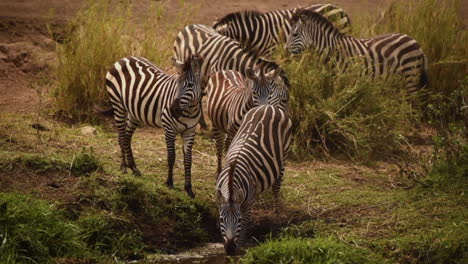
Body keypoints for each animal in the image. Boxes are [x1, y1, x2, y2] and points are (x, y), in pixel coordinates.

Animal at [106, 54, 203, 197]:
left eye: (190, 85)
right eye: (177, 83)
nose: (173, 109)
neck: (189, 110)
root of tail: (124, 58)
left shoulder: (189, 132)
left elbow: (188, 160)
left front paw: (189, 189)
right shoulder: (169, 129)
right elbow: (171, 157)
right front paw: (170, 184)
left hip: (134, 113)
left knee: (127, 138)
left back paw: (133, 168)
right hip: (118, 105)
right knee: (122, 137)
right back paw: (123, 167)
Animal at [217, 105, 292, 256]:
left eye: (238, 220)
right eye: (221, 219)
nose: (230, 249)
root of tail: (268, 106)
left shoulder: (245, 207)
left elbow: (243, 227)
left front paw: (240, 248)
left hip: (284, 156)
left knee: (276, 187)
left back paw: (276, 214)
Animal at [286, 9, 428, 92]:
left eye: (295, 34)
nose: (285, 50)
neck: (334, 51)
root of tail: (415, 41)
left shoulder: (347, 81)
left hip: (410, 74)